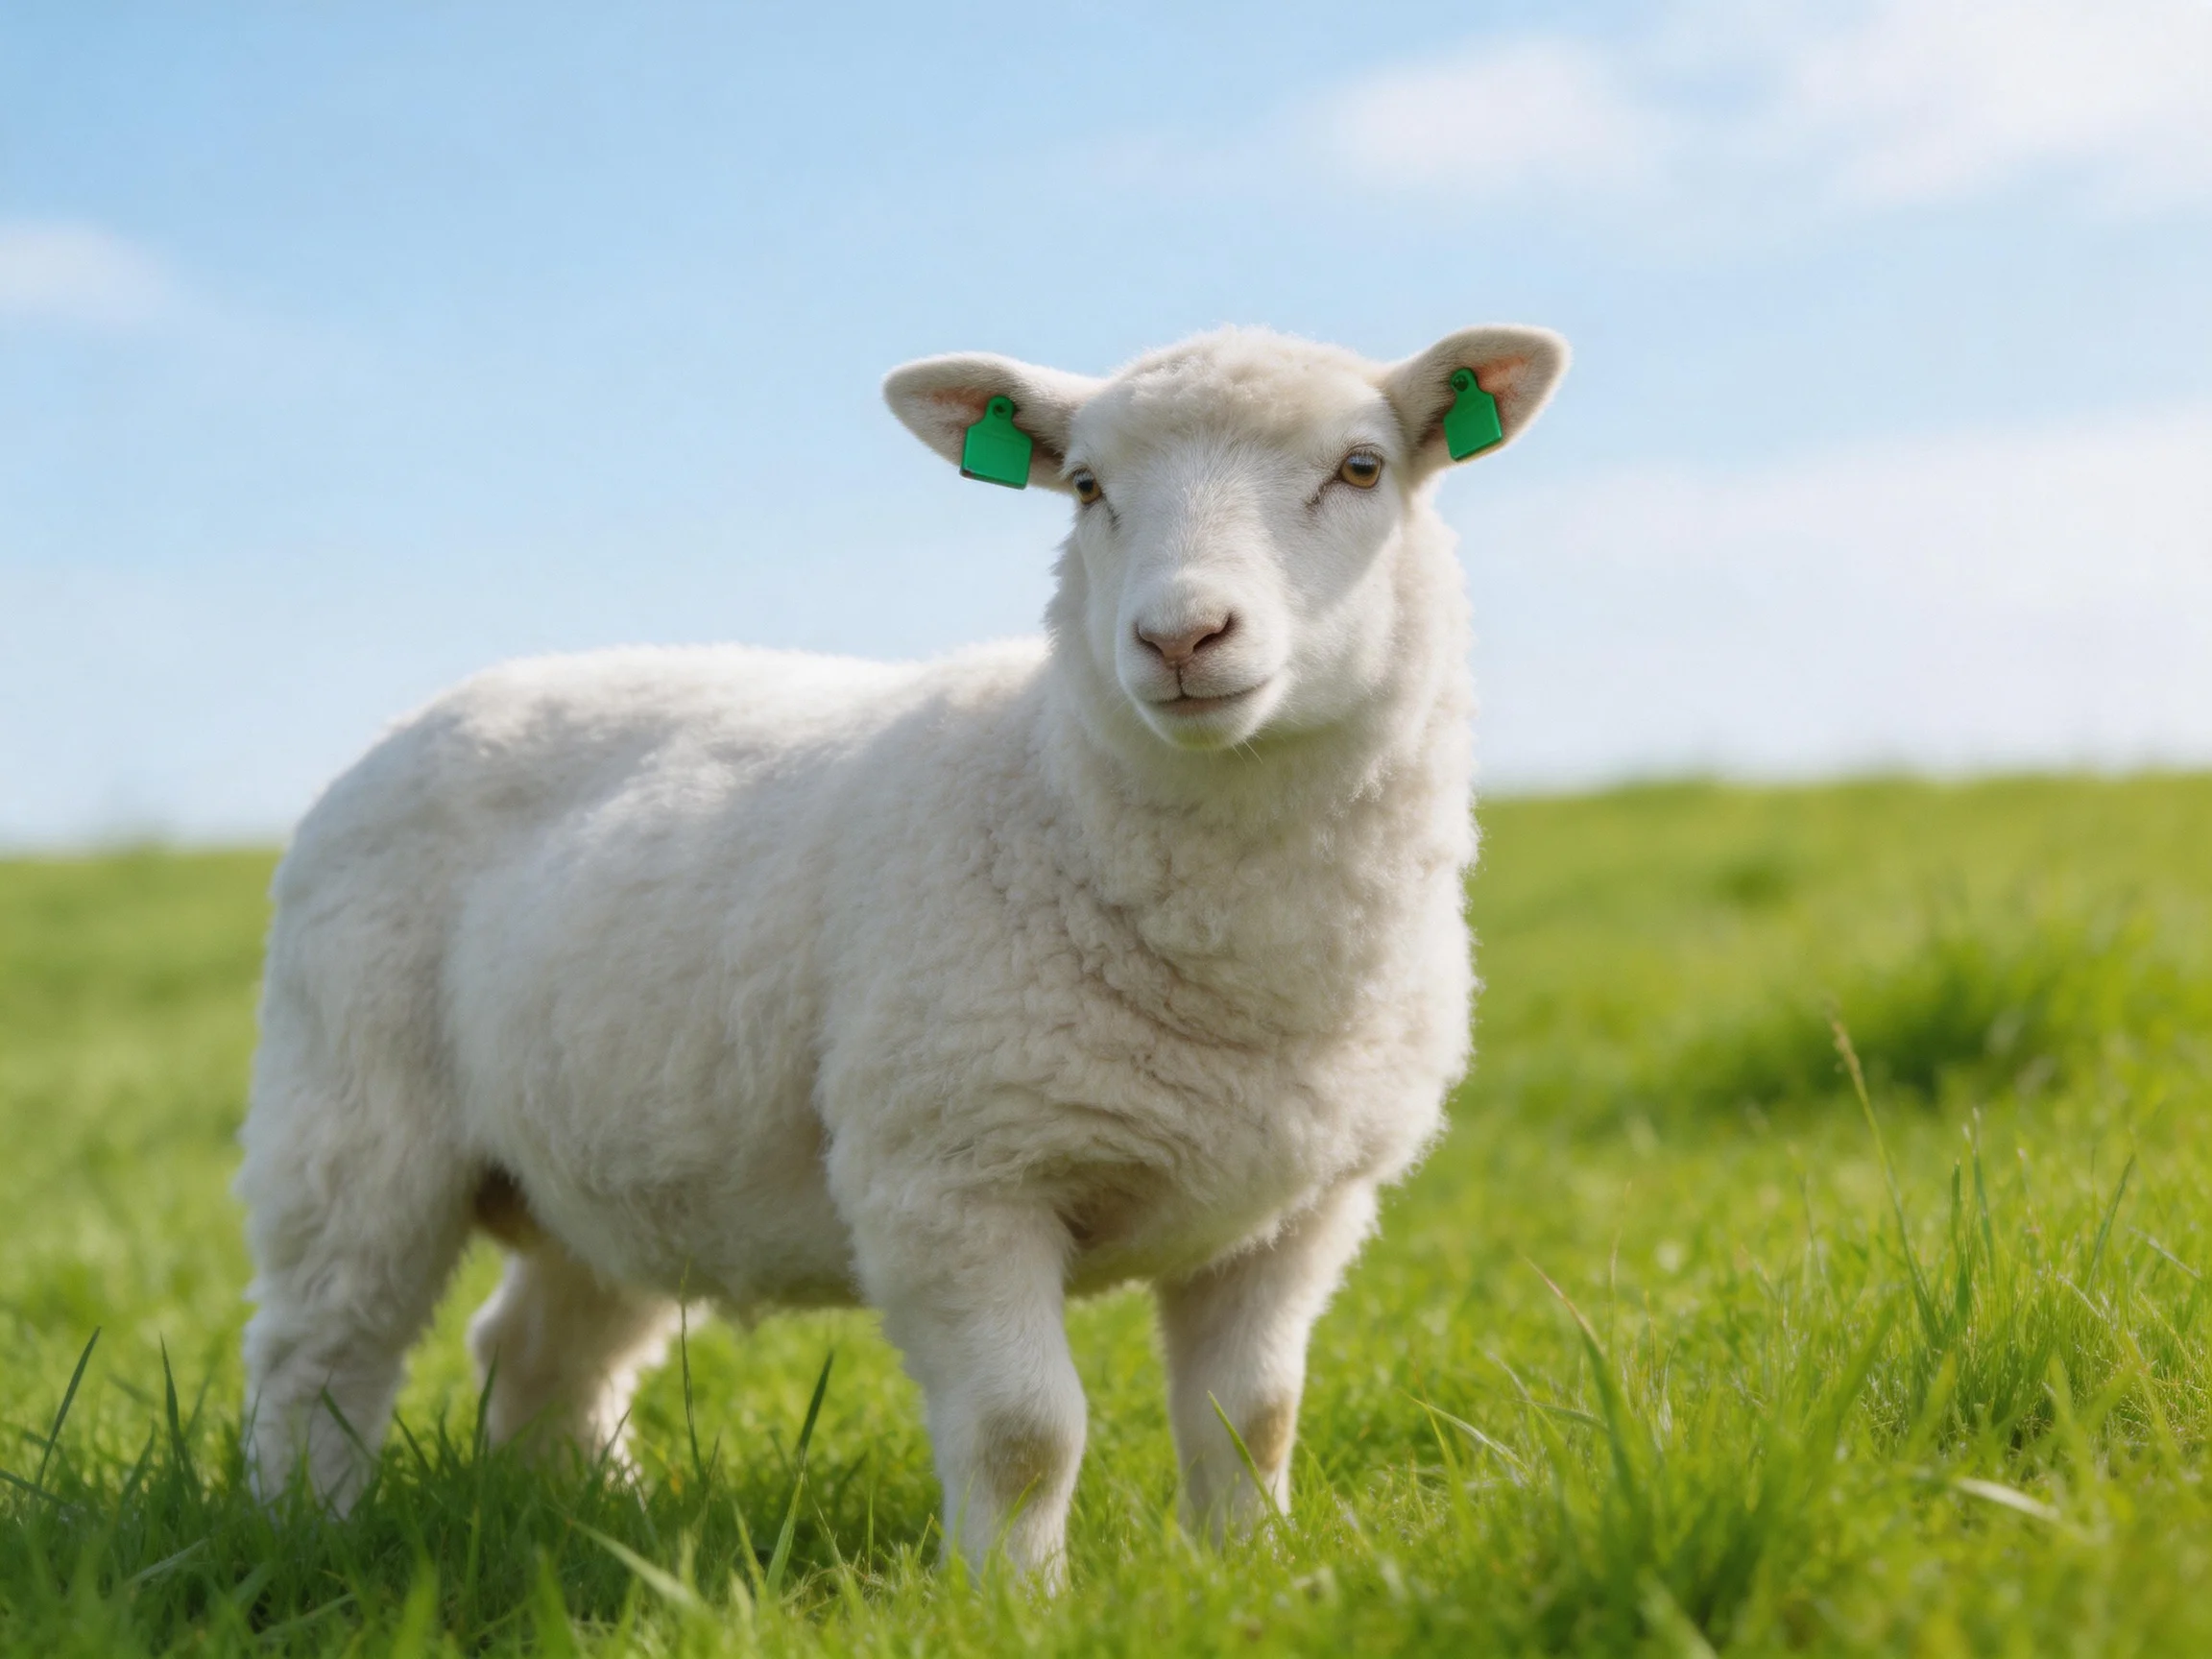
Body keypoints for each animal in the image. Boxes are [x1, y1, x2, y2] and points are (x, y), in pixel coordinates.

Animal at [234, 322, 1568, 1579]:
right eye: (1087, 487)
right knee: (319, 1351)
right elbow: (1026, 1431)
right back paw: (306, 1534)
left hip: (600, 1159)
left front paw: (1252, 1575)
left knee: (537, 1351)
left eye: (1361, 468)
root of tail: (427, 713)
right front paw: (1013, 1605)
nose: (1182, 638)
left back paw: (593, 1524)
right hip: (351, 1121)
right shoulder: (950, 1178)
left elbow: (1255, 1416)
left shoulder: (1300, 1209)